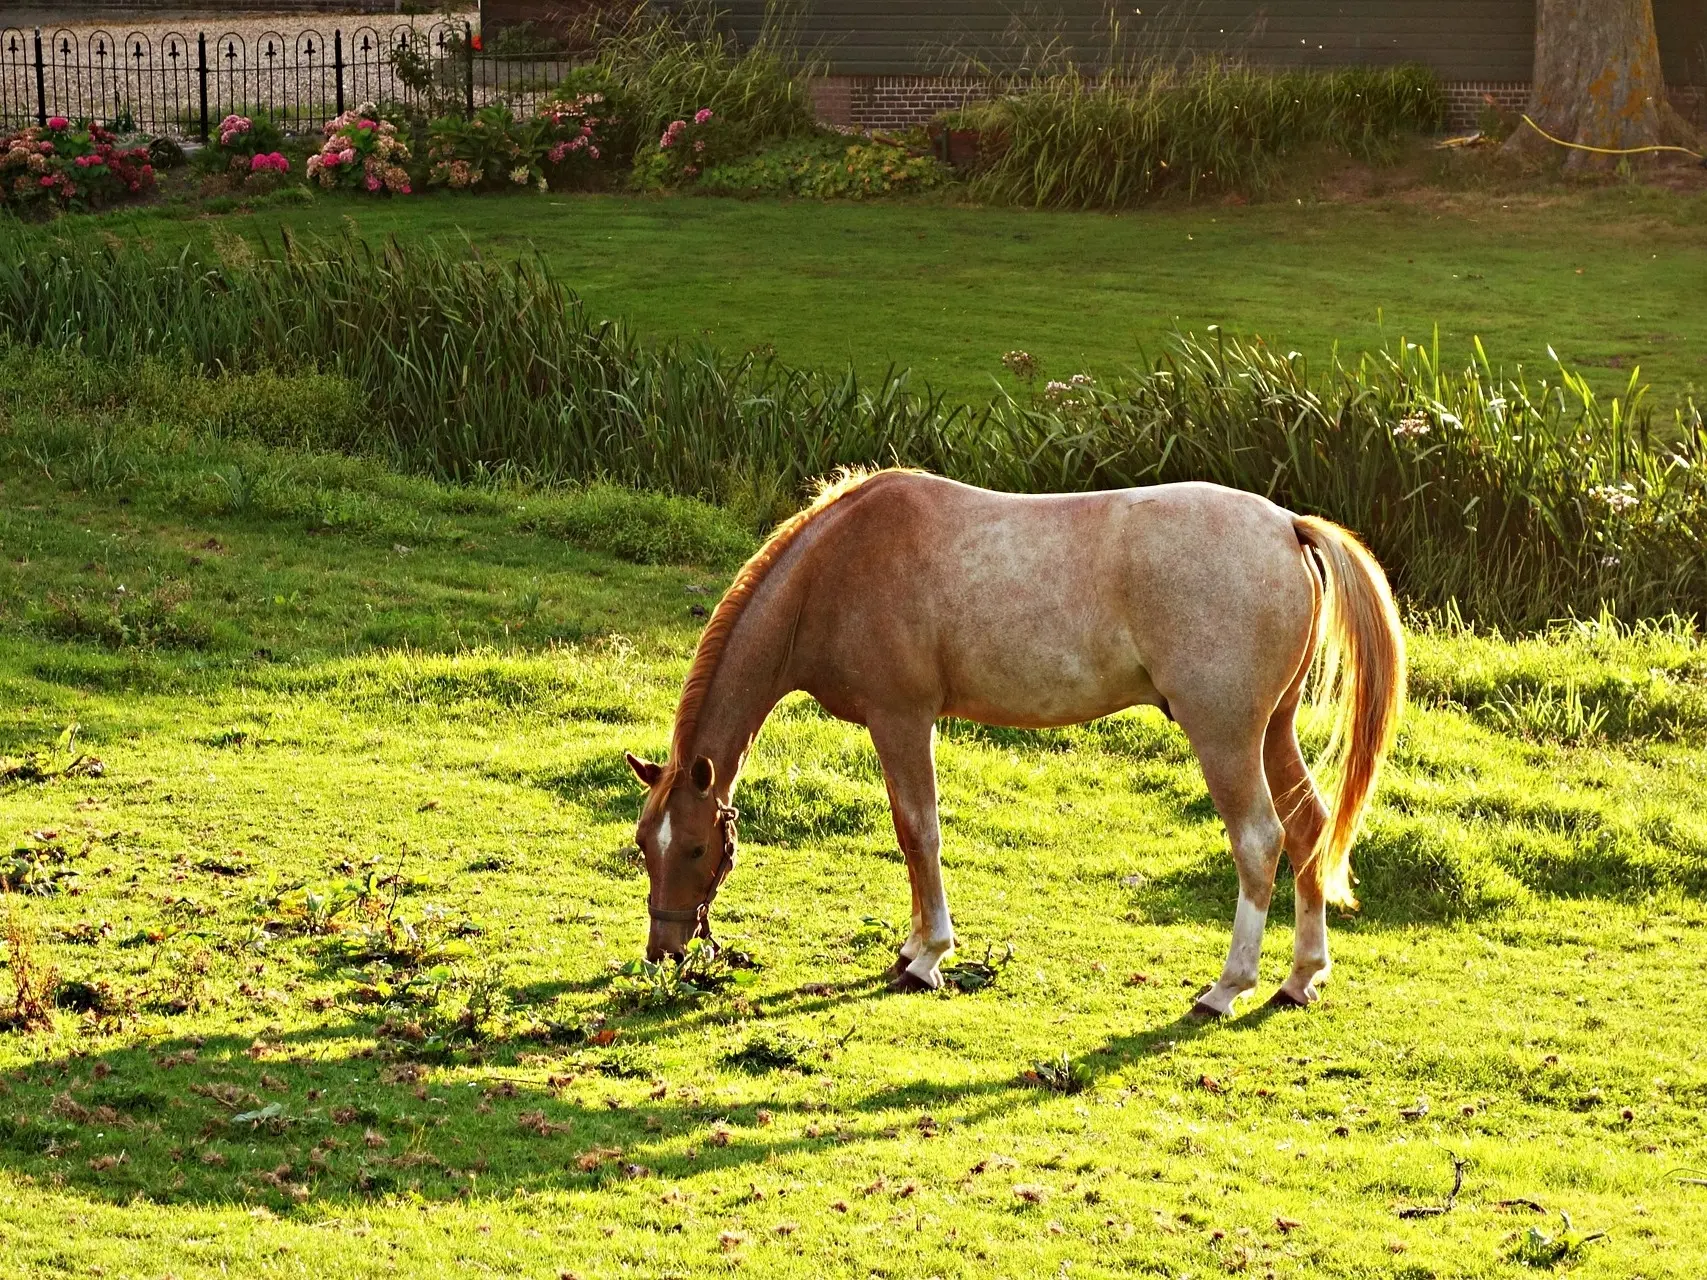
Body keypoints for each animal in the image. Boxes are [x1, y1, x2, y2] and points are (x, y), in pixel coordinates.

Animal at [628, 471, 1399, 1024]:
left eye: (695, 848)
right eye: (643, 845)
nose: (664, 950)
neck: (836, 567)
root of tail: (1286, 526)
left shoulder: (901, 720)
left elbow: (918, 832)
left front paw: (927, 958)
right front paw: (912, 946)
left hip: (1225, 734)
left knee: (1259, 841)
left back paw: (1225, 988)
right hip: (1272, 729)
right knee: (1308, 829)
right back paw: (1299, 978)